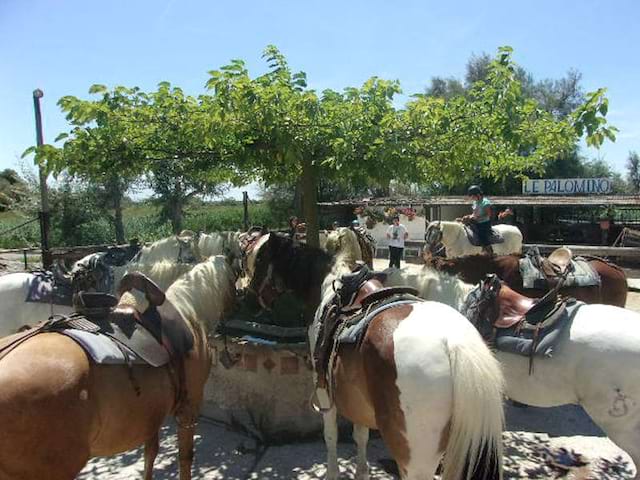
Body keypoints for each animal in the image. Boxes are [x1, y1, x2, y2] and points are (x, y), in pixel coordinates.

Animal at [245, 232, 504, 476]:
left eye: (260, 258)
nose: (250, 296)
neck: (327, 287)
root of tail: (454, 343)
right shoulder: (358, 397)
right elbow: (361, 435)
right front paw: (362, 472)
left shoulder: (323, 387)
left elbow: (330, 435)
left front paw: (332, 472)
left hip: (415, 458)